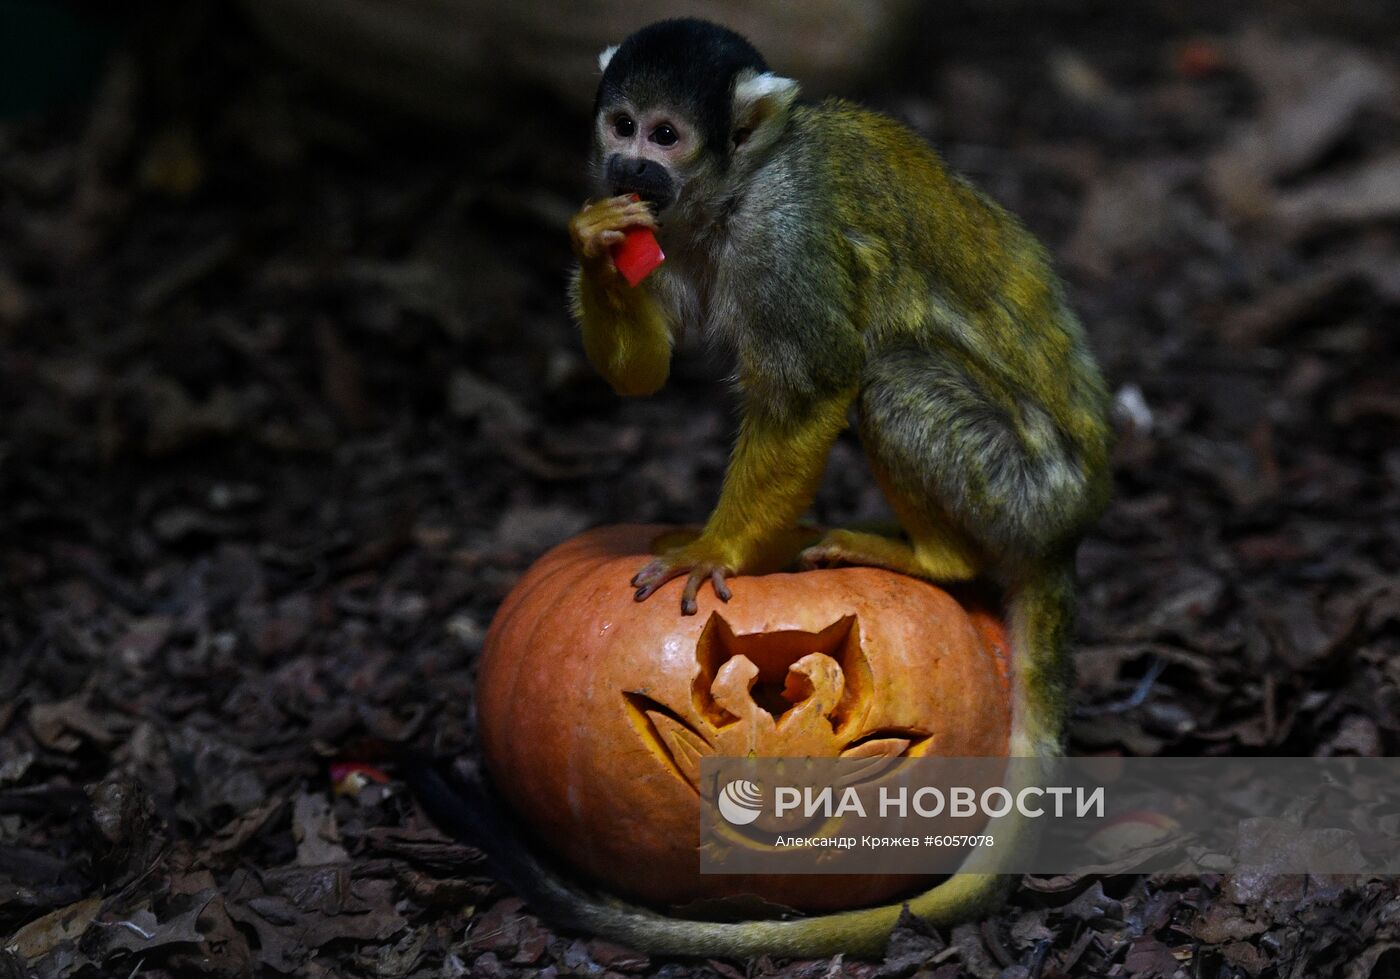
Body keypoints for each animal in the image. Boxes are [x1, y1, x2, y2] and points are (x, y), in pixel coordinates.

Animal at [414, 19, 1103, 963]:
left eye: (666, 135)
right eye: (621, 125)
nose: (629, 166)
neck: (729, 194)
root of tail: (1071, 524)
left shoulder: (785, 239)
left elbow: (816, 383)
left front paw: (716, 550)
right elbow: (643, 371)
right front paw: (594, 239)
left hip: (1022, 486)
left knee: (890, 374)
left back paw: (935, 558)